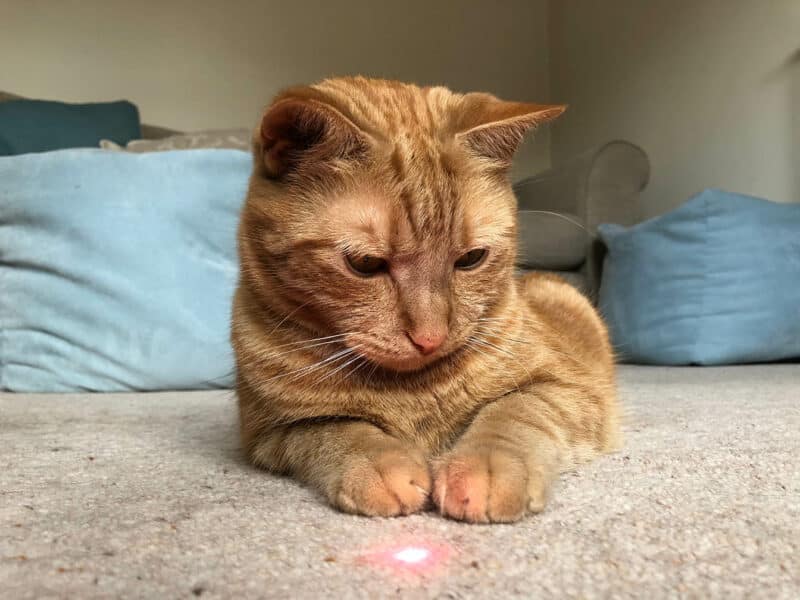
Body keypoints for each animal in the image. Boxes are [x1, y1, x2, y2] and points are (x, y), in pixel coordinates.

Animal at [231, 77, 620, 524]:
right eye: (365, 264)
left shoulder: (570, 388)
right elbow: (337, 429)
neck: (412, 392)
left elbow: (515, 412)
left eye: (471, 259)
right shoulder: (270, 433)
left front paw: (486, 467)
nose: (430, 338)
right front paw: (379, 464)